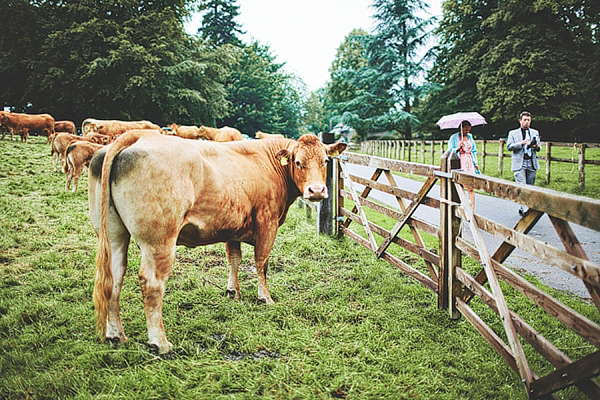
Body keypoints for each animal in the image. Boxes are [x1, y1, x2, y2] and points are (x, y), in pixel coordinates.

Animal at [91, 130, 350, 354]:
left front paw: (233, 292)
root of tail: (137, 135)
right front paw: (265, 297)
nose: (317, 191)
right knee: (152, 284)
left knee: (114, 278)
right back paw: (160, 342)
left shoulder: (233, 228)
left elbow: (234, 259)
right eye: (297, 162)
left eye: (325, 160)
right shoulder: (267, 223)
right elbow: (261, 263)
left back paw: (116, 335)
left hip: (113, 234)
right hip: (159, 241)